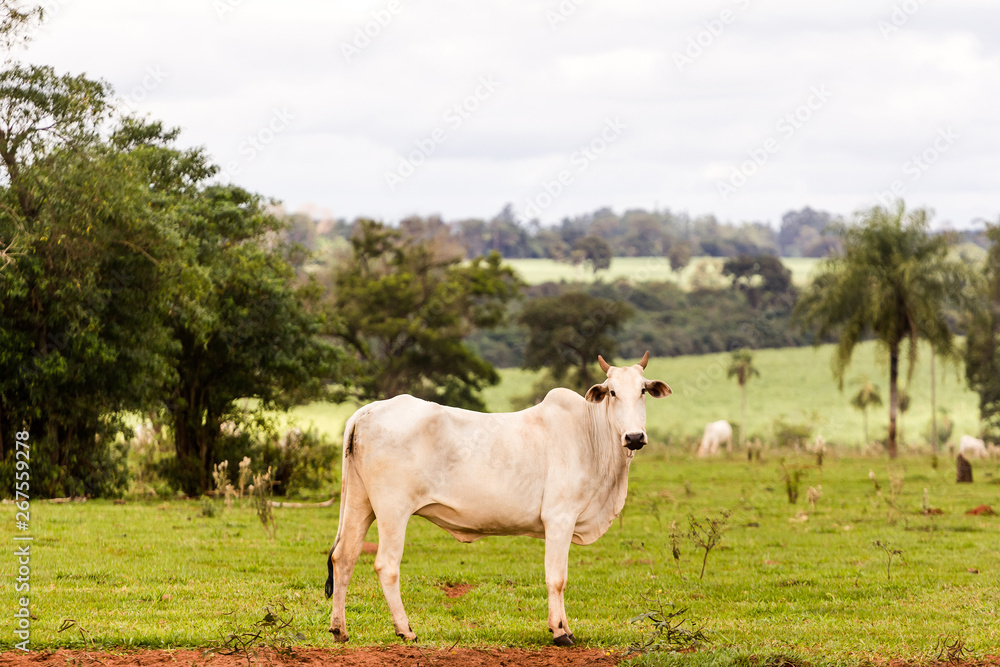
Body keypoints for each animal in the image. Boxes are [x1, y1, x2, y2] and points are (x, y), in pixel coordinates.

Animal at [328, 352, 672, 644]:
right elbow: (557, 578)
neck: (591, 434)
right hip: (393, 511)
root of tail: (366, 411)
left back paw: (339, 630)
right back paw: (405, 630)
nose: (634, 437)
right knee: (386, 565)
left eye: (643, 390)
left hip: (360, 503)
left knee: (344, 557)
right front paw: (560, 631)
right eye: (612, 392)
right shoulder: (559, 519)